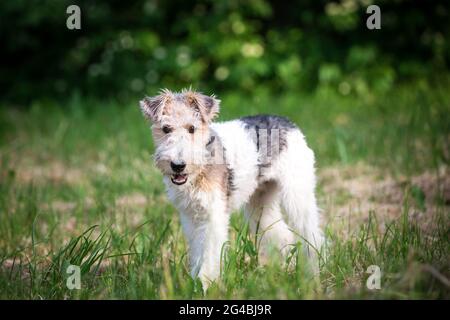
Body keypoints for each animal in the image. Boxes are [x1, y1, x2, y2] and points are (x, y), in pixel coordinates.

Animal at [141, 88, 324, 288]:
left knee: (313, 237)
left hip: (297, 195)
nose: (178, 165)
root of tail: (287, 122)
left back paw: (314, 274)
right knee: (282, 235)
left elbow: (210, 255)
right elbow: (197, 252)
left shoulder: (213, 216)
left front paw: (205, 284)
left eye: (192, 128)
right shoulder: (191, 216)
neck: (203, 164)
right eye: (166, 129)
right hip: (261, 205)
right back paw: (287, 270)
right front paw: (194, 283)